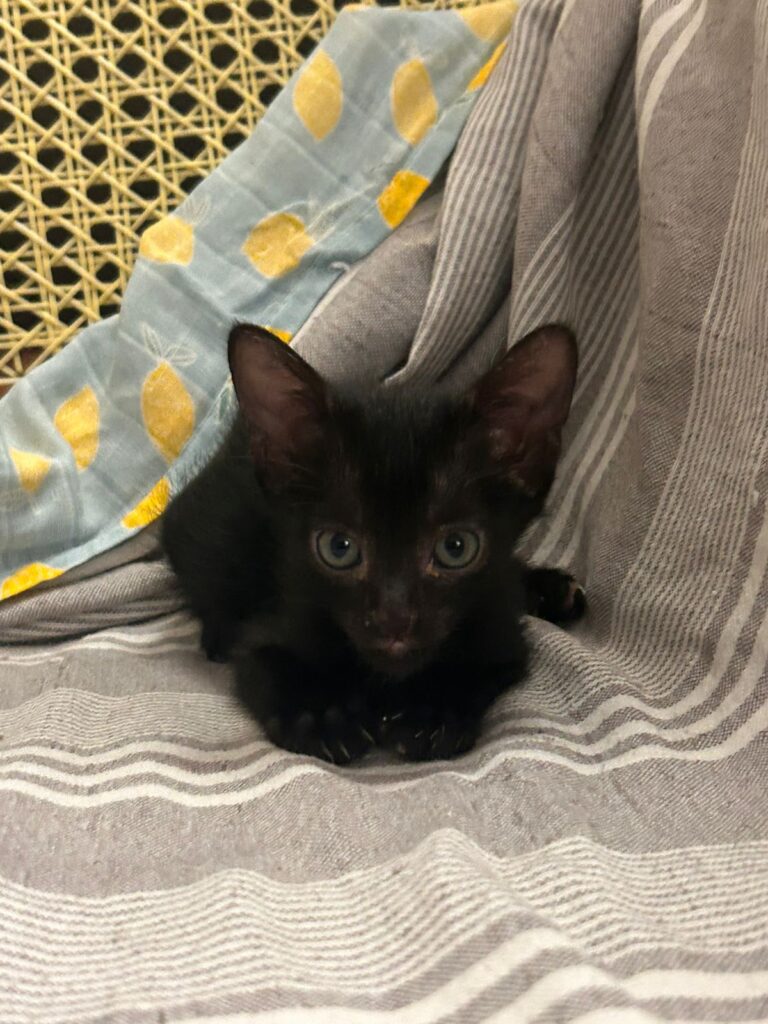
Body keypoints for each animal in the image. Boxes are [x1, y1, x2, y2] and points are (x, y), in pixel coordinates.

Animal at [161, 322, 585, 764]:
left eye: (456, 547)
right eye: (338, 547)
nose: (394, 619)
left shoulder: (501, 629)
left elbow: (482, 667)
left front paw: (431, 712)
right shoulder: (272, 622)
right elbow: (263, 663)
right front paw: (323, 715)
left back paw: (551, 590)